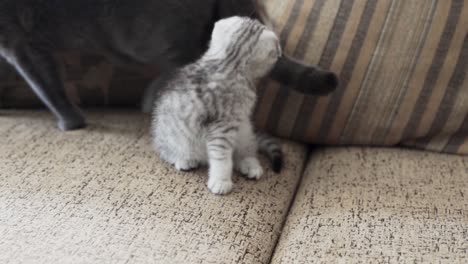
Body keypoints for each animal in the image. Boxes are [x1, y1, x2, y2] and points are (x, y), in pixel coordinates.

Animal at [153, 16, 282, 194]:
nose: (280, 54)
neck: (227, 64)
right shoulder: (222, 128)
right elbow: (222, 158)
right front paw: (221, 181)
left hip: (245, 129)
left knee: (247, 149)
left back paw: (250, 164)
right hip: (170, 136)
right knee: (166, 152)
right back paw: (183, 158)